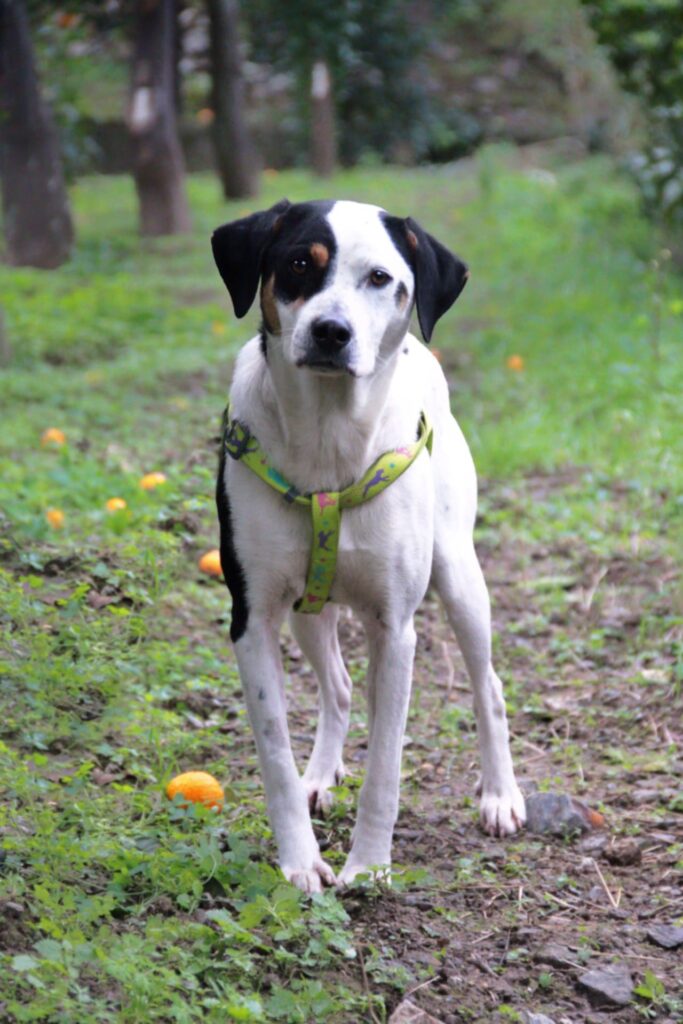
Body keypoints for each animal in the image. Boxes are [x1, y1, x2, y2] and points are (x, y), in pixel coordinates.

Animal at [210, 197, 528, 888]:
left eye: (381, 278)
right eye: (300, 264)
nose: (331, 331)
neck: (328, 437)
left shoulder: (396, 626)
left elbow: (387, 760)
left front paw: (371, 866)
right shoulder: (253, 617)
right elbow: (274, 753)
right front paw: (301, 864)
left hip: (460, 578)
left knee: (486, 685)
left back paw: (500, 796)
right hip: (307, 610)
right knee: (339, 687)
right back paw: (320, 775)